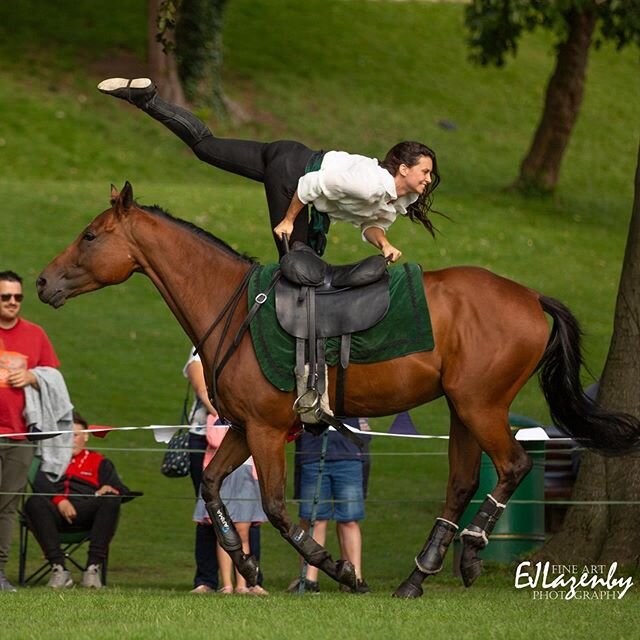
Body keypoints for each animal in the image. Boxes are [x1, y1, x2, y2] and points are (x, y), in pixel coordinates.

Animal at [37, 182, 636, 596]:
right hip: (462, 410)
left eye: (90, 236)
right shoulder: (246, 429)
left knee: (513, 465)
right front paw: (246, 561)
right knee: (463, 482)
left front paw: (337, 570)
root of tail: (531, 296)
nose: (42, 281)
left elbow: (277, 508)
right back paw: (418, 577)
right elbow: (210, 485)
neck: (232, 304)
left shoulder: (265, 431)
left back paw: (468, 552)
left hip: (481, 406)